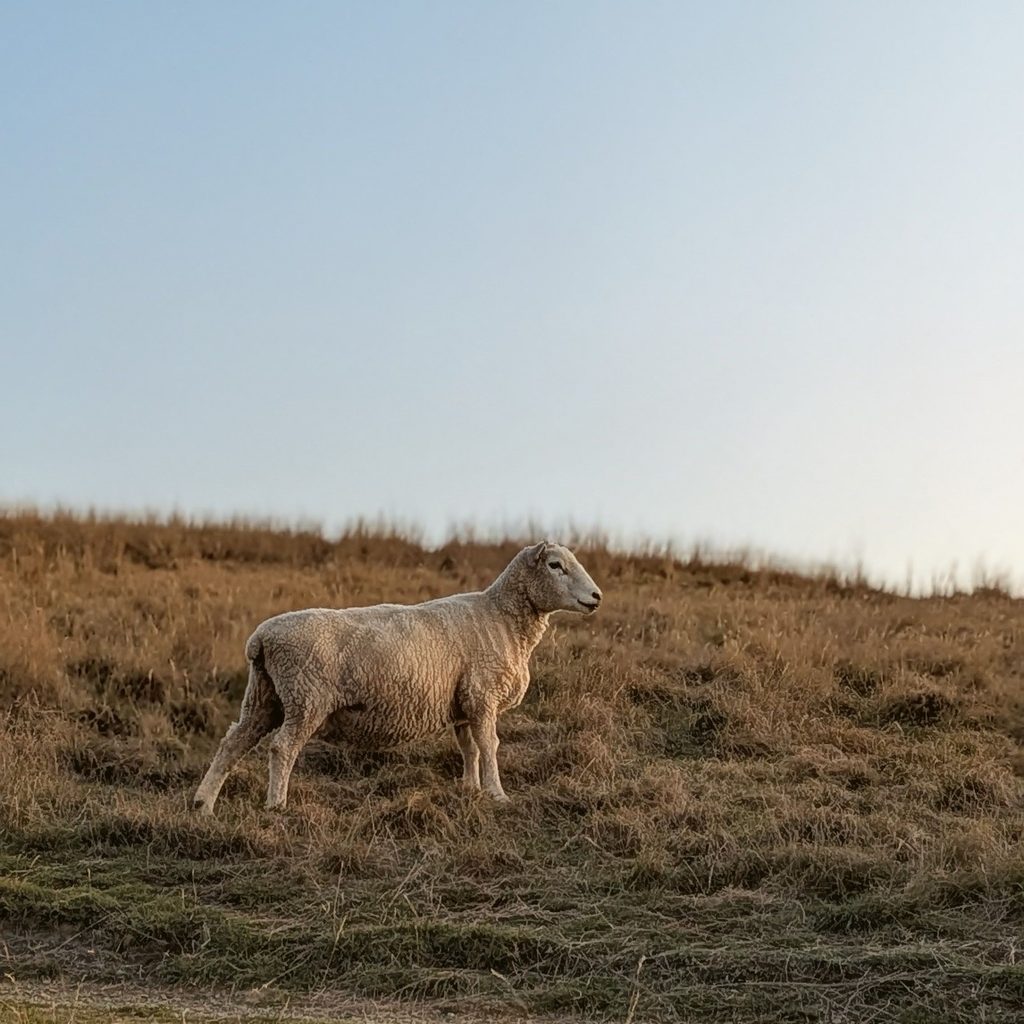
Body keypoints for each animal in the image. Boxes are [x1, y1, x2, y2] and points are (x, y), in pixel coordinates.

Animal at [192, 541, 602, 814]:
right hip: (305, 698)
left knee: (232, 743)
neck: (501, 617)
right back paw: (276, 806)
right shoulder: (483, 696)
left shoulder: (464, 701)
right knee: (282, 748)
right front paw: (497, 794)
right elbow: (489, 746)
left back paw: (204, 803)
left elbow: (468, 748)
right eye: (555, 565)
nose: (597, 596)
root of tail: (261, 638)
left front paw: (470, 789)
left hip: (264, 696)